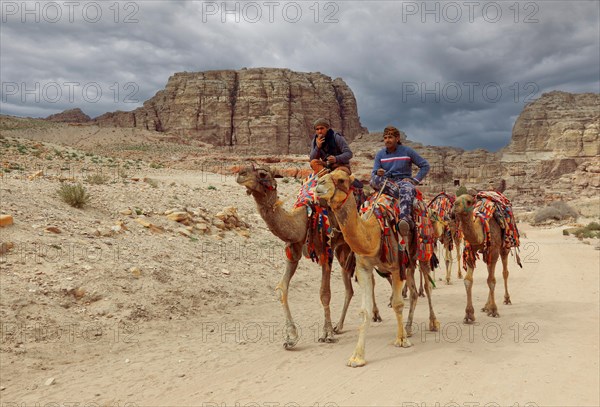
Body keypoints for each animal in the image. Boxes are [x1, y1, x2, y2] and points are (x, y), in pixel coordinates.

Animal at [237, 164, 382, 350]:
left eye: (262, 174)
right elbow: (282, 288)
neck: (303, 219)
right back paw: (340, 325)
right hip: (343, 249)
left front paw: (326, 334)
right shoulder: (294, 249)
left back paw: (374, 315)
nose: (240, 174)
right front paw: (291, 337)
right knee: (351, 286)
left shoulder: (325, 251)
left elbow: (324, 293)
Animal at [316, 171, 438, 368]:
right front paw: (357, 357)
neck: (375, 232)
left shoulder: (396, 266)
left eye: (342, 179)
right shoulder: (363, 268)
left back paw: (433, 323)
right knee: (413, 291)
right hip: (409, 263)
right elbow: (365, 311)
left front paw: (401, 340)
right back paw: (409, 327)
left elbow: (397, 304)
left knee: (427, 286)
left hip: (422, 252)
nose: (319, 184)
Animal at [452, 193, 516, 324]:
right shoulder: (470, 250)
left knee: (504, 272)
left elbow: (492, 280)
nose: (455, 205)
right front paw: (469, 315)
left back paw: (506, 299)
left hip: (504, 247)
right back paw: (486, 306)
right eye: (456, 199)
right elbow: (468, 280)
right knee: (489, 271)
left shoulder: (494, 250)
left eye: (469, 201)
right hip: (487, 254)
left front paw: (494, 311)